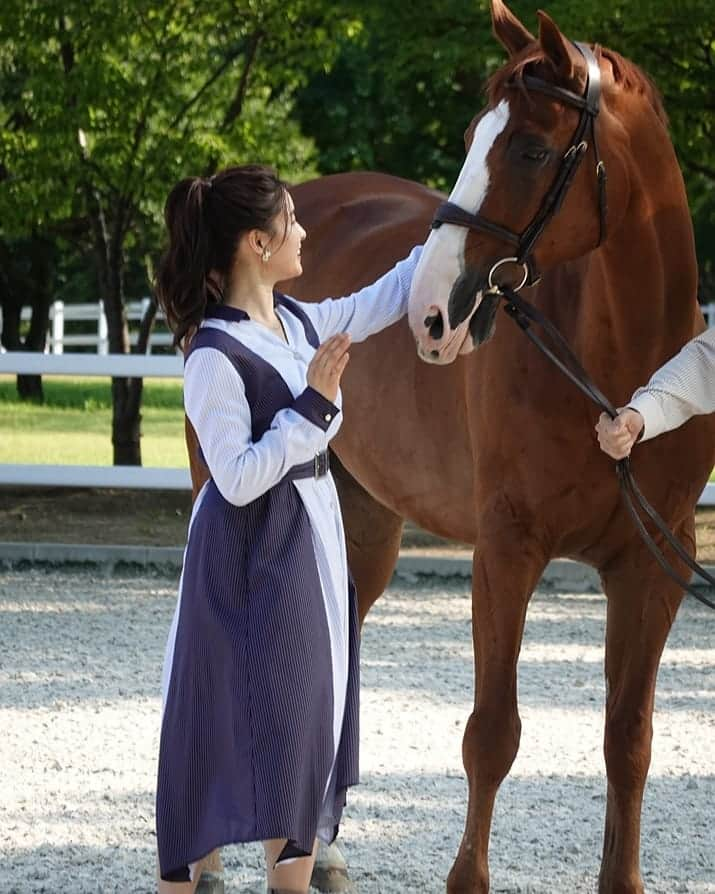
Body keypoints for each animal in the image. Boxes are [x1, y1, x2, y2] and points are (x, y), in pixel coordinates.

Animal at [187, 3, 712, 892]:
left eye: (530, 148)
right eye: (471, 137)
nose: (432, 312)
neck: (614, 368)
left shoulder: (653, 566)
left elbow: (628, 740)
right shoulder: (506, 551)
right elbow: (491, 735)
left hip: (362, 523)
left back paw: (323, 853)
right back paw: (212, 858)